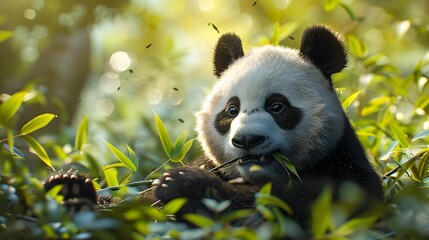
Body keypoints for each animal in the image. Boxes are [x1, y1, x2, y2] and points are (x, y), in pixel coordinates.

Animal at [152, 25, 382, 226]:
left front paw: (184, 184)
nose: (247, 140)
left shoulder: (346, 173)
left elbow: (281, 205)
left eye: (277, 106)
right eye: (232, 110)